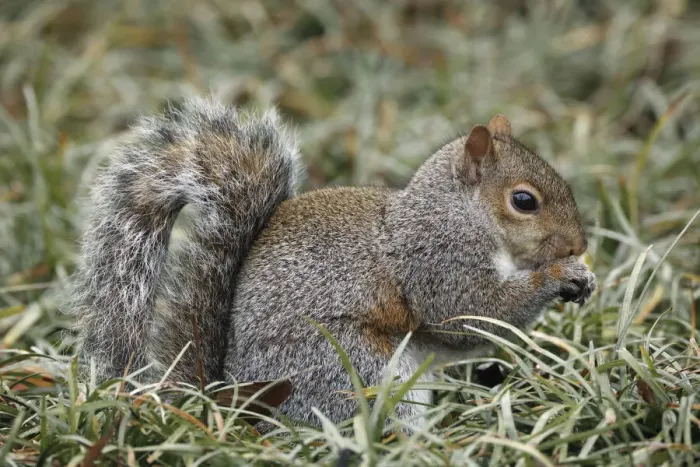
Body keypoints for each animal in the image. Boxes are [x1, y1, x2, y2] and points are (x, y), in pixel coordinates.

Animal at [65, 97, 596, 430]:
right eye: (524, 201)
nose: (579, 244)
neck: (459, 214)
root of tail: (231, 402)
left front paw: (584, 277)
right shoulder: (438, 260)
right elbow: (469, 317)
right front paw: (558, 277)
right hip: (354, 369)